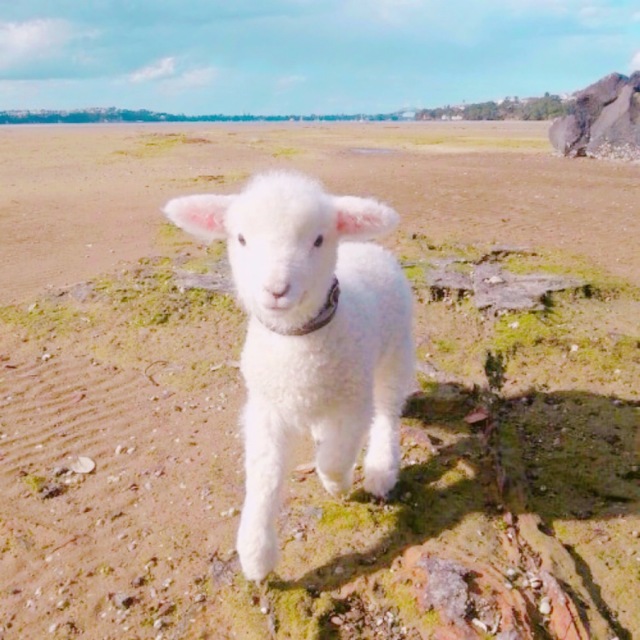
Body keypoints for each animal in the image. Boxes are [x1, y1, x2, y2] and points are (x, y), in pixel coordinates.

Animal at [162, 172, 416, 584]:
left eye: (318, 239)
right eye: (241, 238)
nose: (276, 290)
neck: (297, 340)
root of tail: (370, 249)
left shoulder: (353, 401)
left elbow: (335, 457)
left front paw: (337, 484)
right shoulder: (265, 409)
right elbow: (263, 476)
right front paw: (256, 553)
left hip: (396, 353)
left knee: (387, 412)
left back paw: (381, 468)